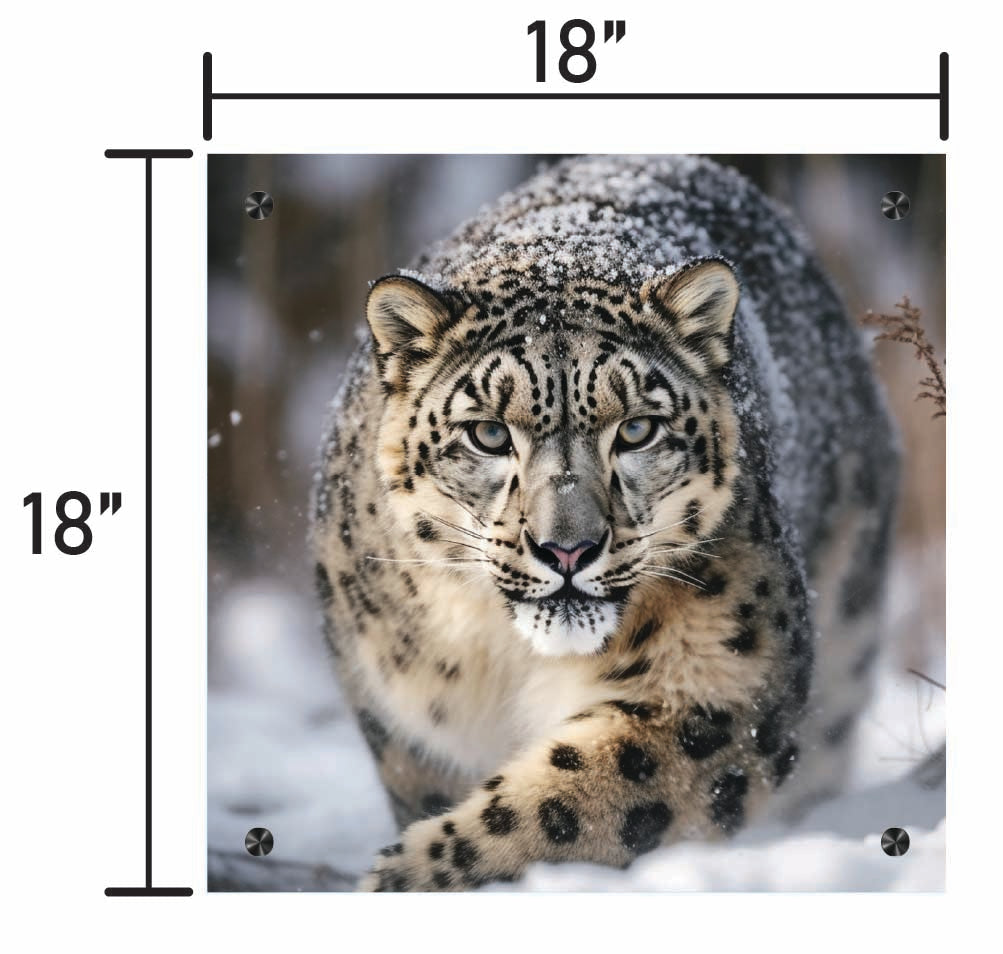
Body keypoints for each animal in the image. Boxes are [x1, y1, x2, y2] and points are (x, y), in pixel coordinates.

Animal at [310, 155, 899, 891]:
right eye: (487, 434)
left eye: (638, 428)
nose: (568, 549)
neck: (510, 663)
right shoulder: (405, 718)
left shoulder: (718, 686)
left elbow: (569, 803)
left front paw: (412, 874)